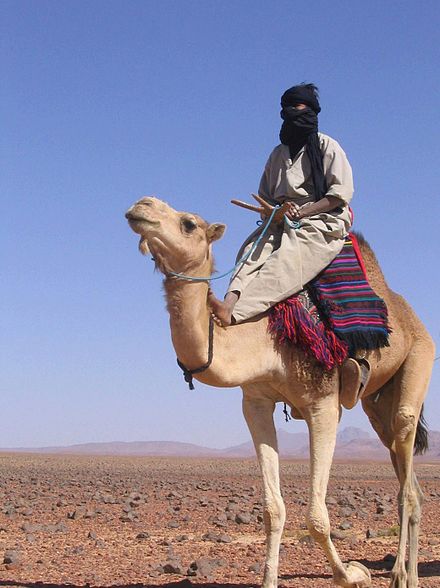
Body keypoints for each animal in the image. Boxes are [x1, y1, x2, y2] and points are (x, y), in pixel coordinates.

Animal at [125, 198, 434, 588]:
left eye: (189, 224)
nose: (141, 206)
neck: (265, 342)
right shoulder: (255, 402)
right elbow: (273, 510)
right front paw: (271, 578)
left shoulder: (323, 405)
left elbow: (317, 518)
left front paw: (353, 574)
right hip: (376, 406)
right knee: (407, 472)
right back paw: (407, 573)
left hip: (421, 356)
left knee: (406, 479)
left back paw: (403, 576)